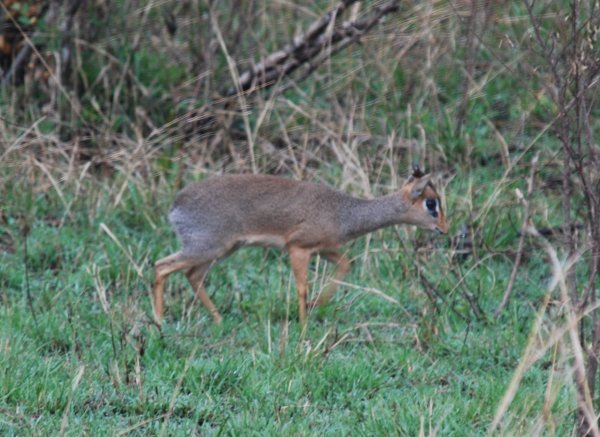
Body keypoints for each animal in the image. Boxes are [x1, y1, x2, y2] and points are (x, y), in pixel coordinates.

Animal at [152, 166, 448, 324]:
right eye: (431, 203)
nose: (444, 229)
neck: (343, 212)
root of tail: (175, 205)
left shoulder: (326, 249)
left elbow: (346, 265)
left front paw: (318, 304)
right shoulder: (298, 249)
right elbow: (302, 288)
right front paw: (304, 325)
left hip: (220, 250)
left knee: (192, 275)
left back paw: (218, 320)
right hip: (206, 248)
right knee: (161, 266)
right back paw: (159, 321)